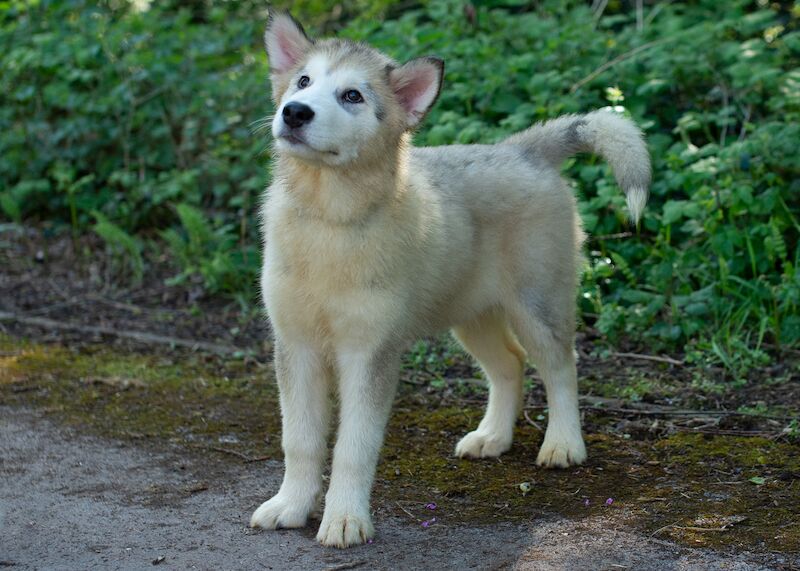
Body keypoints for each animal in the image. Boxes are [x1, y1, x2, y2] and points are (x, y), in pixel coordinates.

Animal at [250, 14, 648, 548]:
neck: (329, 218)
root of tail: (521, 150)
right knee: (509, 365)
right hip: (471, 314)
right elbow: (300, 440)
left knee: (560, 365)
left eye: (352, 95)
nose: (294, 112)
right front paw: (291, 506)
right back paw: (493, 437)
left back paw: (564, 443)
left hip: (537, 303)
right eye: (303, 82)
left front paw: (345, 519)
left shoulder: (369, 353)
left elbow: (353, 446)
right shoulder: (296, 346)